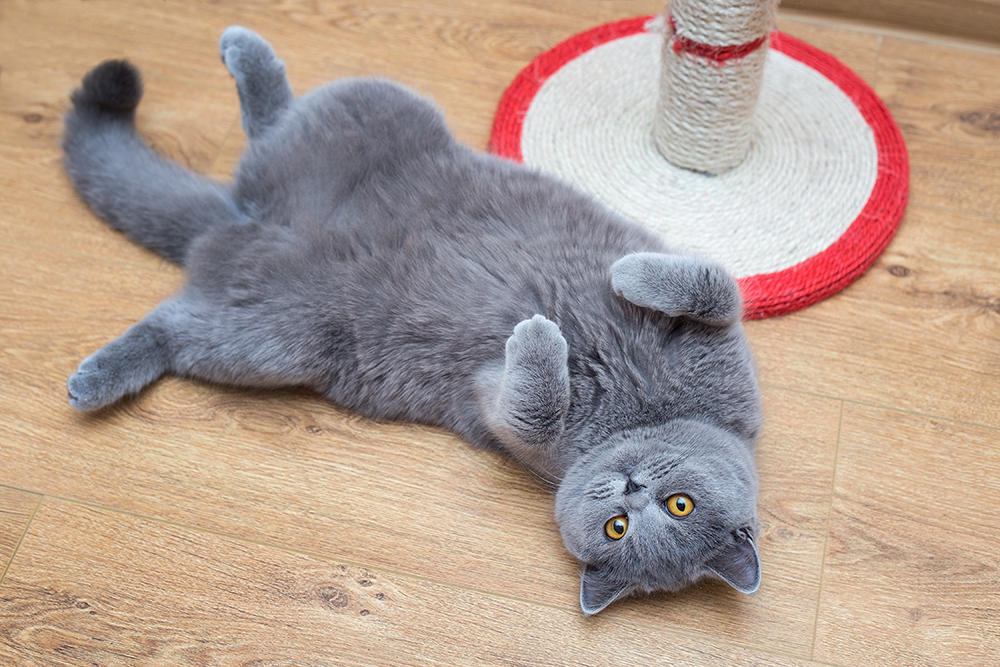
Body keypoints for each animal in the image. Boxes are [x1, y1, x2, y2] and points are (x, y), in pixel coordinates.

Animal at [62, 28, 760, 620]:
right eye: (674, 503)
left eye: (652, 519)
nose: (629, 492)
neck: (642, 415)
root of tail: (241, 226)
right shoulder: (726, 345)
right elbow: (716, 286)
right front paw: (621, 277)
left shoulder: (504, 418)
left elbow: (532, 409)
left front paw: (537, 334)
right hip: (377, 112)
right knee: (275, 125)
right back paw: (244, 50)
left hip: (273, 340)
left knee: (173, 328)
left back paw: (93, 379)